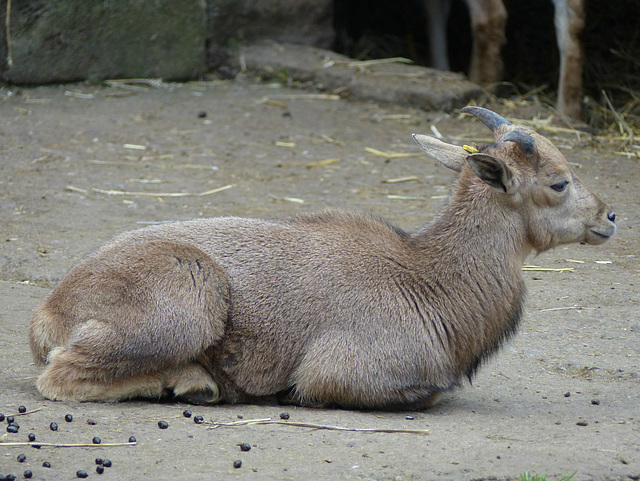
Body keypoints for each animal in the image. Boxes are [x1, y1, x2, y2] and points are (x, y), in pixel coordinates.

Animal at [28, 108, 616, 408]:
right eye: (558, 182)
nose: (610, 217)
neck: (429, 279)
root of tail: (50, 312)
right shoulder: (342, 371)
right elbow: (425, 394)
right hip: (186, 304)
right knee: (62, 377)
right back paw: (191, 382)